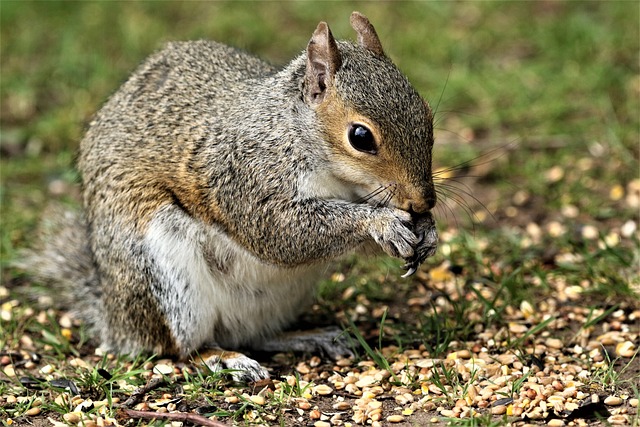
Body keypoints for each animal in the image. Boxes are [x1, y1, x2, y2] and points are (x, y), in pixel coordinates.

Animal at [21, 12, 440, 382]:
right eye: (360, 137)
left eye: (426, 114)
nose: (423, 202)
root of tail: (117, 319)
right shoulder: (244, 175)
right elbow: (284, 233)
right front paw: (381, 223)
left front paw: (427, 232)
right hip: (165, 282)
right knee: (178, 349)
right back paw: (221, 359)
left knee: (255, 335)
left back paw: (310, 336)